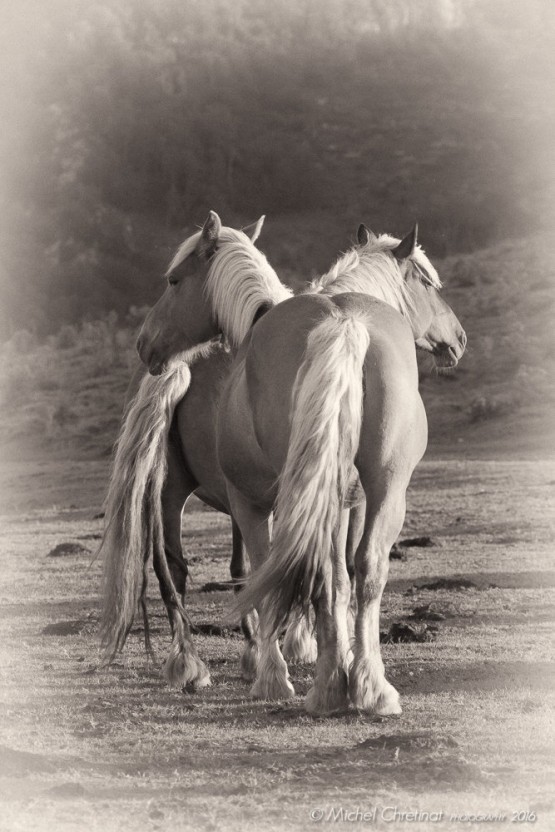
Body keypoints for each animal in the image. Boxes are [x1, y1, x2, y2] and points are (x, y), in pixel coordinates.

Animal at [136, 211, 466, 716]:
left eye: (174, 280)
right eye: (429, 283)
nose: (145, 343)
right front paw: (334, 660)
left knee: (192, 568)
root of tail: (345, 322)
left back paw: (312, 683)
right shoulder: (349, 499)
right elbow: (342, 579)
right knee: (364, 570)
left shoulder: (251, 502)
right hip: (385, 488)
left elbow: (264, 572)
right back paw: (367, 687)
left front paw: (273, 674)